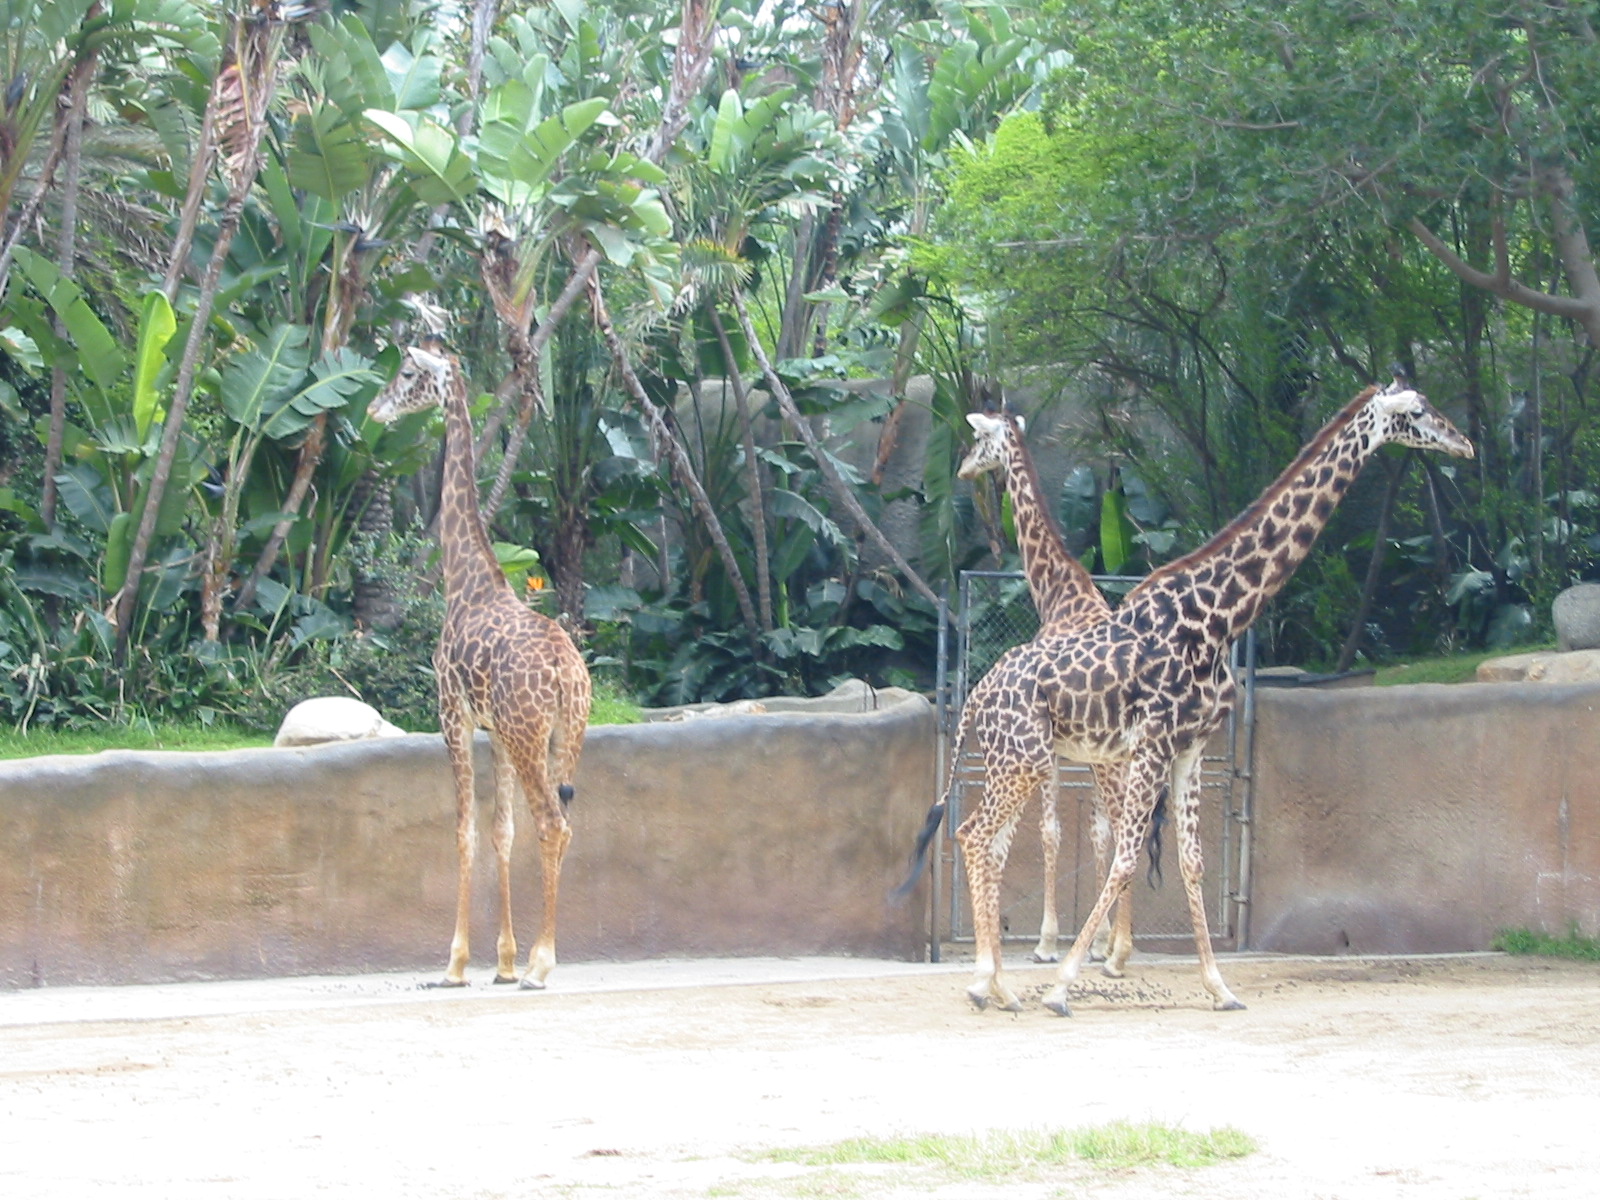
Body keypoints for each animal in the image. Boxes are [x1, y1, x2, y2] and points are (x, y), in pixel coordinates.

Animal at [368, 336, 592, 990]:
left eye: (408, 373)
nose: (375, 408)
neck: (464, 580)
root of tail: (567, 673)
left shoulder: (453, 716)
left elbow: (464, 830)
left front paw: (457, 962)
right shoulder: (494, 732)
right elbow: (500, 832)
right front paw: (504, 962)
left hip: (528, 735)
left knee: (553, 823)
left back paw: (545, 964)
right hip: (563, 735)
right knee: (559, 824)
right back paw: (537, 960)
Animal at [921, 382, 1473, 1013]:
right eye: (1417, 413)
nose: (1465, 443)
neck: (1218, 617)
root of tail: (975, 696)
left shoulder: (1188, 747)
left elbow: (1191, 862)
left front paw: (1219, 986)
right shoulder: (1152, 742)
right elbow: (1123, 853)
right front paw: (1062, 984)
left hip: (1018, 761)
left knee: (988, 839)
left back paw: (1000, 984)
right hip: (1027, 759)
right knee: (975, 835)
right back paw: (994, 983)